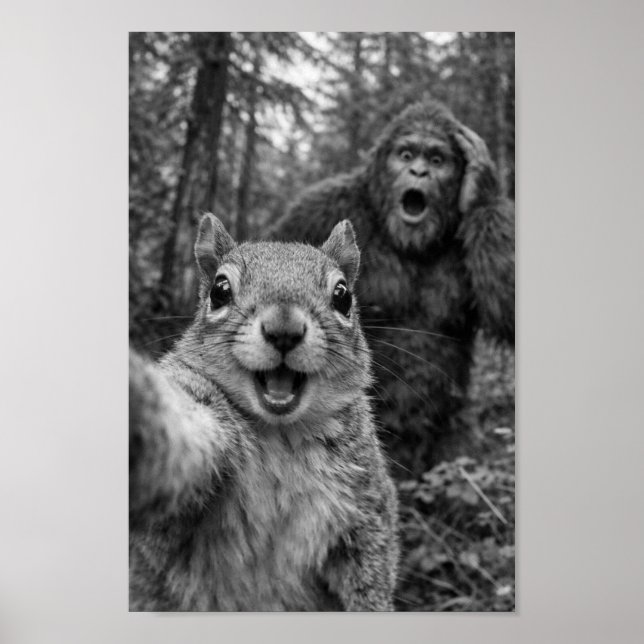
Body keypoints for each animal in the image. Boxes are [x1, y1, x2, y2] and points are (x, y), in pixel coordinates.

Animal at [129, 214, 399, 611]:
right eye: (220, 291)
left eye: (343, 295)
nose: (284, 330)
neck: (280, 434)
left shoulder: (367, 499)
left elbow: (373, 564)